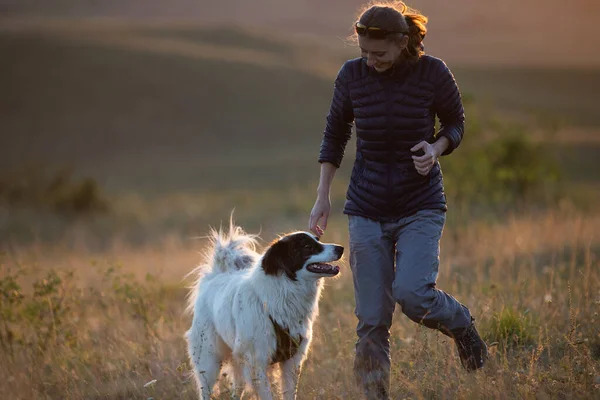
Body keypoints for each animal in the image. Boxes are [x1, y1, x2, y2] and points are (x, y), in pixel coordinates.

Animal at [184, 223, 342, 398]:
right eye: (307, 246)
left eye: (317, 239)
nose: (341, 248)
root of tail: (216, 275)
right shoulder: (256, 365)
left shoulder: (292, 361)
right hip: (209, 361)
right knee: (206, 390)